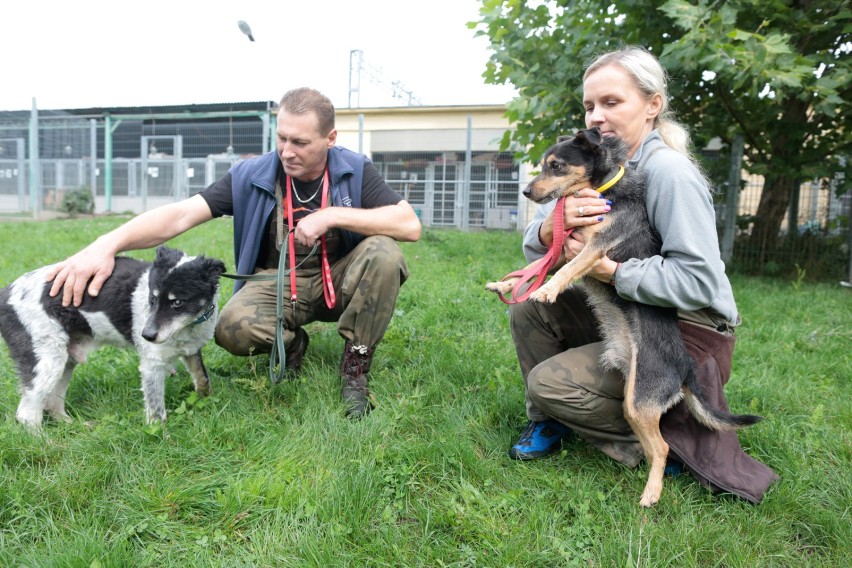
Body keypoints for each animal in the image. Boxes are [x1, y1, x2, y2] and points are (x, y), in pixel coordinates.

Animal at [0, 246, 226, 428]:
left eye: (177, 302)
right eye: (152, 299)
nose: (146, 335)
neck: (190, 325)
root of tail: (5, 295)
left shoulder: (191, 349)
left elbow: (202, 378)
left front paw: (205, 398)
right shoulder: (152, 365)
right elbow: (155, 410)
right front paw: (160, 434)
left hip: (65, 360)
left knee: (51, 403)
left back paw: (73, 426)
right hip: (46, 359)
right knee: (27, 413)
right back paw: (47, 444)